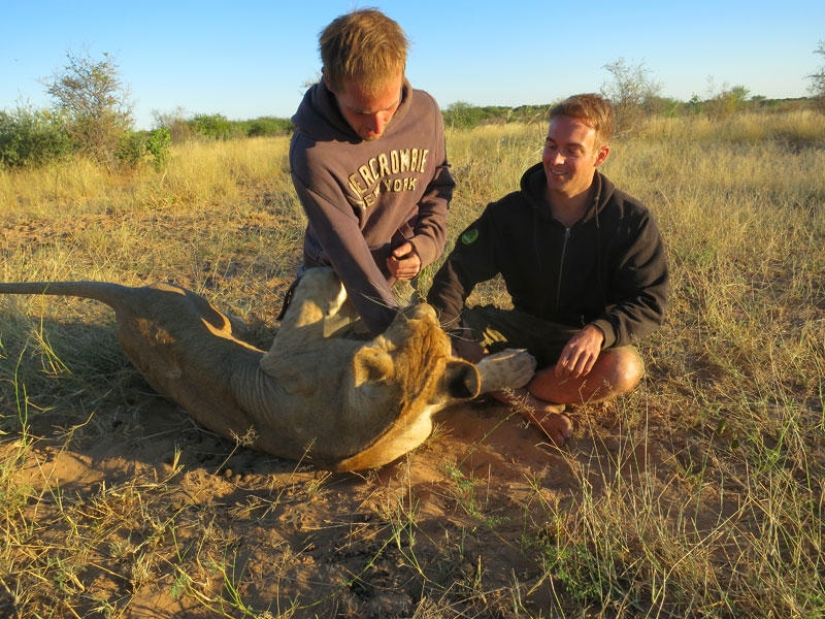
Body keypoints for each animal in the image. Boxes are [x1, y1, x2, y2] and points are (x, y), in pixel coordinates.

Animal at [0, 268, 535, 471]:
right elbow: (473, 378)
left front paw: (520, 363)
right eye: (414, 322)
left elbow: (314, 296)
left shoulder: (286, 356)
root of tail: (131, 299)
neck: (391, 414)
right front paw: (520, 362)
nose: (420, 304)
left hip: (195, 303)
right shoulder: (284, 359)